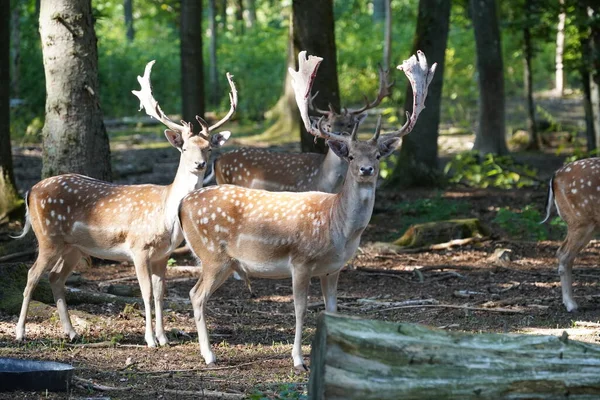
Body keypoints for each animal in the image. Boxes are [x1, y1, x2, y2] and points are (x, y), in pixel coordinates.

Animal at [12, 60, 238, 346]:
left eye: (209, 148)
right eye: (185, 148)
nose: (200, 164)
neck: (167, 217)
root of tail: (30, 191)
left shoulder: (163, 255)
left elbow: (160, 293)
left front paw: (164, 338)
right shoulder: (138, 248)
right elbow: (146, 293)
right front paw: (150, 339)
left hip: (73, 246)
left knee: (56, 277)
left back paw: (72, 332)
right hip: (48, 236)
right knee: (32, 275)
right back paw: (20, 333)